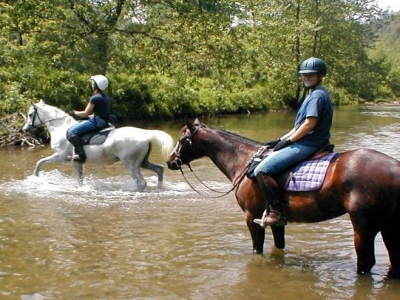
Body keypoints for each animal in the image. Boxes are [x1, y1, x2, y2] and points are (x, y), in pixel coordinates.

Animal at [22, 99, 173, 191]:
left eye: (30, 114)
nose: (25, 129)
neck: (60, 127)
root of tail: (145, 134)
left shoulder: (60, 156)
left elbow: (40, 162)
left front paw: (35, 179)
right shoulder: (76, 161)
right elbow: (80, 179)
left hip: (131, 164)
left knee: (141, 182)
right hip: (142, 162)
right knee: (159, 169)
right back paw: (160, 187)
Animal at [166, 118, 400, 278]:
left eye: (182, 139)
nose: (170, 161)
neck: (244, 161)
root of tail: (394, 167)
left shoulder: (252, 217)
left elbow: (257, 250)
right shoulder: (277, 221)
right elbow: (279, 246)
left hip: (364, 226)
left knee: (366, 261)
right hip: (389, 225)